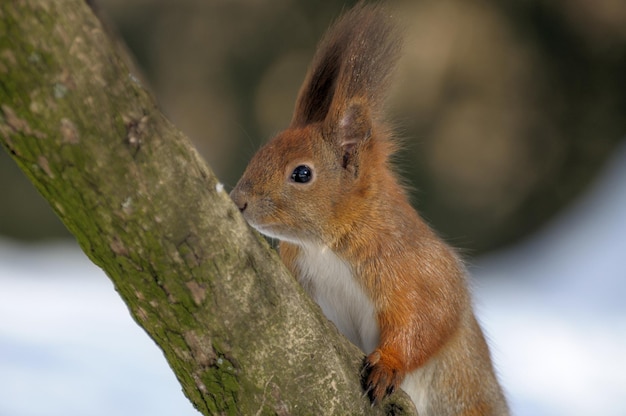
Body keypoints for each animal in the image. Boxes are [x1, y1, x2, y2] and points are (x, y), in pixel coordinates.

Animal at [229, 2, 508, 412]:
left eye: (301, 173)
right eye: (262, 152)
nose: (239, 201)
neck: (327, 247)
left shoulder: (418, 270)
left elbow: (430, 321)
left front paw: (388, 365)